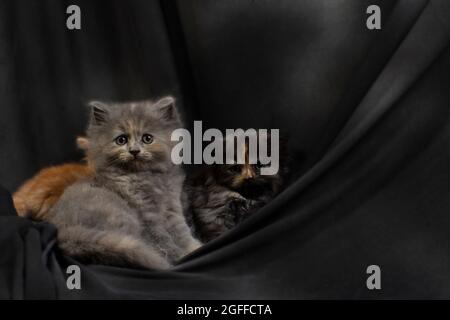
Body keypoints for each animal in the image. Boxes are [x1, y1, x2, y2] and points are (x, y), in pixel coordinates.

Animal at [47, 96, 200, 268]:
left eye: (147, 138)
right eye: (121, 140)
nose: (134, 151)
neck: (147, 177)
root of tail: (65, 234)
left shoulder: (172, 207)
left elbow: (182, 232)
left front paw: (194, 248)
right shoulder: (147, 215)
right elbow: (163, 239)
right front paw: (179, 255)